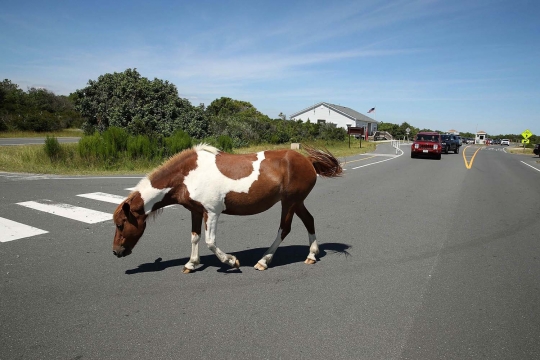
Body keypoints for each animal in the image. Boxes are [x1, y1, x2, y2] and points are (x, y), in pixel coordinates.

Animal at [112, 143, 342, 272]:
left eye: (121, 224)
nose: (116, 252)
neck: (187, 175)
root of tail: (308, 161)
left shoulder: (212, 212)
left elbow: (210, 242)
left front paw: (231, 261)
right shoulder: (196, 211)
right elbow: (195, 237)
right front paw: (191, 264)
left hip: (289, 202)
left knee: (284, 229)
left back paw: (264, 261)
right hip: (296, 202)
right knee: (309, 220)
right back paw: (311, 255)